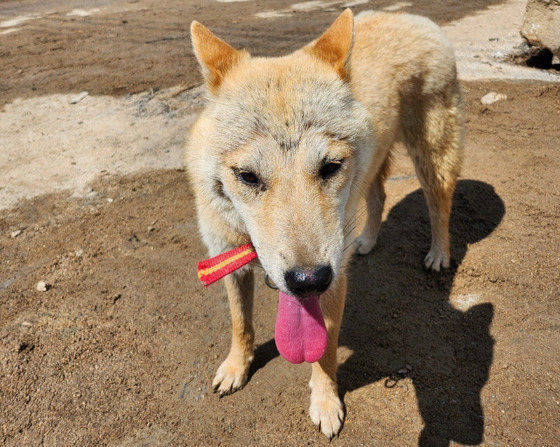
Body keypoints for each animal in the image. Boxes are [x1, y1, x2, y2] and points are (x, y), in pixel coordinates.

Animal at [186, 8, 462, 440]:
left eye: (329, 166)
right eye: (247, 176)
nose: (308, 280)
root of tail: (409, 16)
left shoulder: (335, 281)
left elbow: (326, 350)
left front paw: (326, 403)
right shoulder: (227, 258)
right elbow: (239, 323)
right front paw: (236, 367)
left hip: (431, 154)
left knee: (440, 203)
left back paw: (439, 253)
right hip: (375, 169)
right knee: (378, 196)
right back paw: (367, 241)